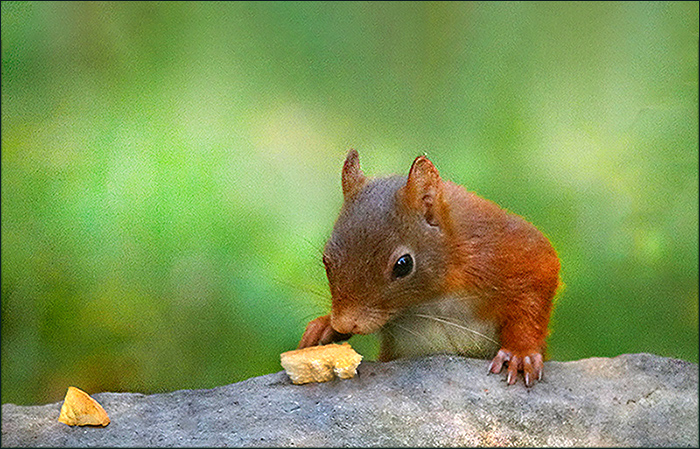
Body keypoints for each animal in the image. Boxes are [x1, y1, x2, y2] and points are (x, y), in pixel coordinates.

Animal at [298, 149, 561, 387]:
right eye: (326, 260)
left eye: (403, 265)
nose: (344, 322)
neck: (431, 298)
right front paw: (324, 326)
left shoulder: (496, 250)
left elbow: (538, 278)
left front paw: (520, 352)